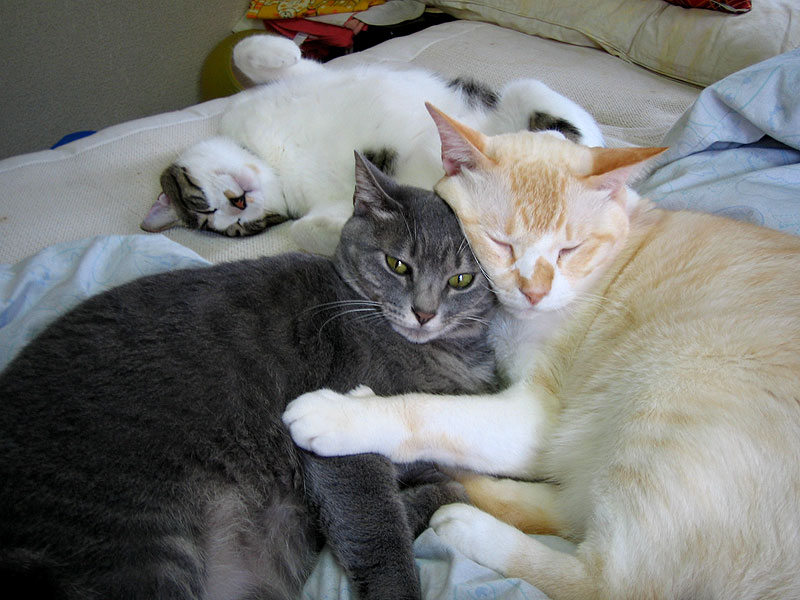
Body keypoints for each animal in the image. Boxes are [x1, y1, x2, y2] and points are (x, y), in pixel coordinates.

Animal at [0, 153, 498, 600]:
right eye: (397, 265)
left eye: (461, 280)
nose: (424, 312)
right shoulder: (343, 439)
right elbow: (378, 528)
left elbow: (448, 488)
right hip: (140, 543)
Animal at [141, 33, 604, 256]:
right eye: (243, 229)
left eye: (201, 204)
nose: (238, 203)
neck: (270, 158)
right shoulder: (322, 203)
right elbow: (306, 229)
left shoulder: (306, 75)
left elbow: (246, 51)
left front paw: (279, 49)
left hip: (528, 90)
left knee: (583, 141)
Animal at [282, 105, 800, 599]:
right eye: (501, 244)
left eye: (570, 249)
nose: (534, 290)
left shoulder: (538, 413)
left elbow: (429, 411)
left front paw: (341, 415)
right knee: (570, 506)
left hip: (668, 396)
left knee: (610, 580)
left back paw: (465, 523)